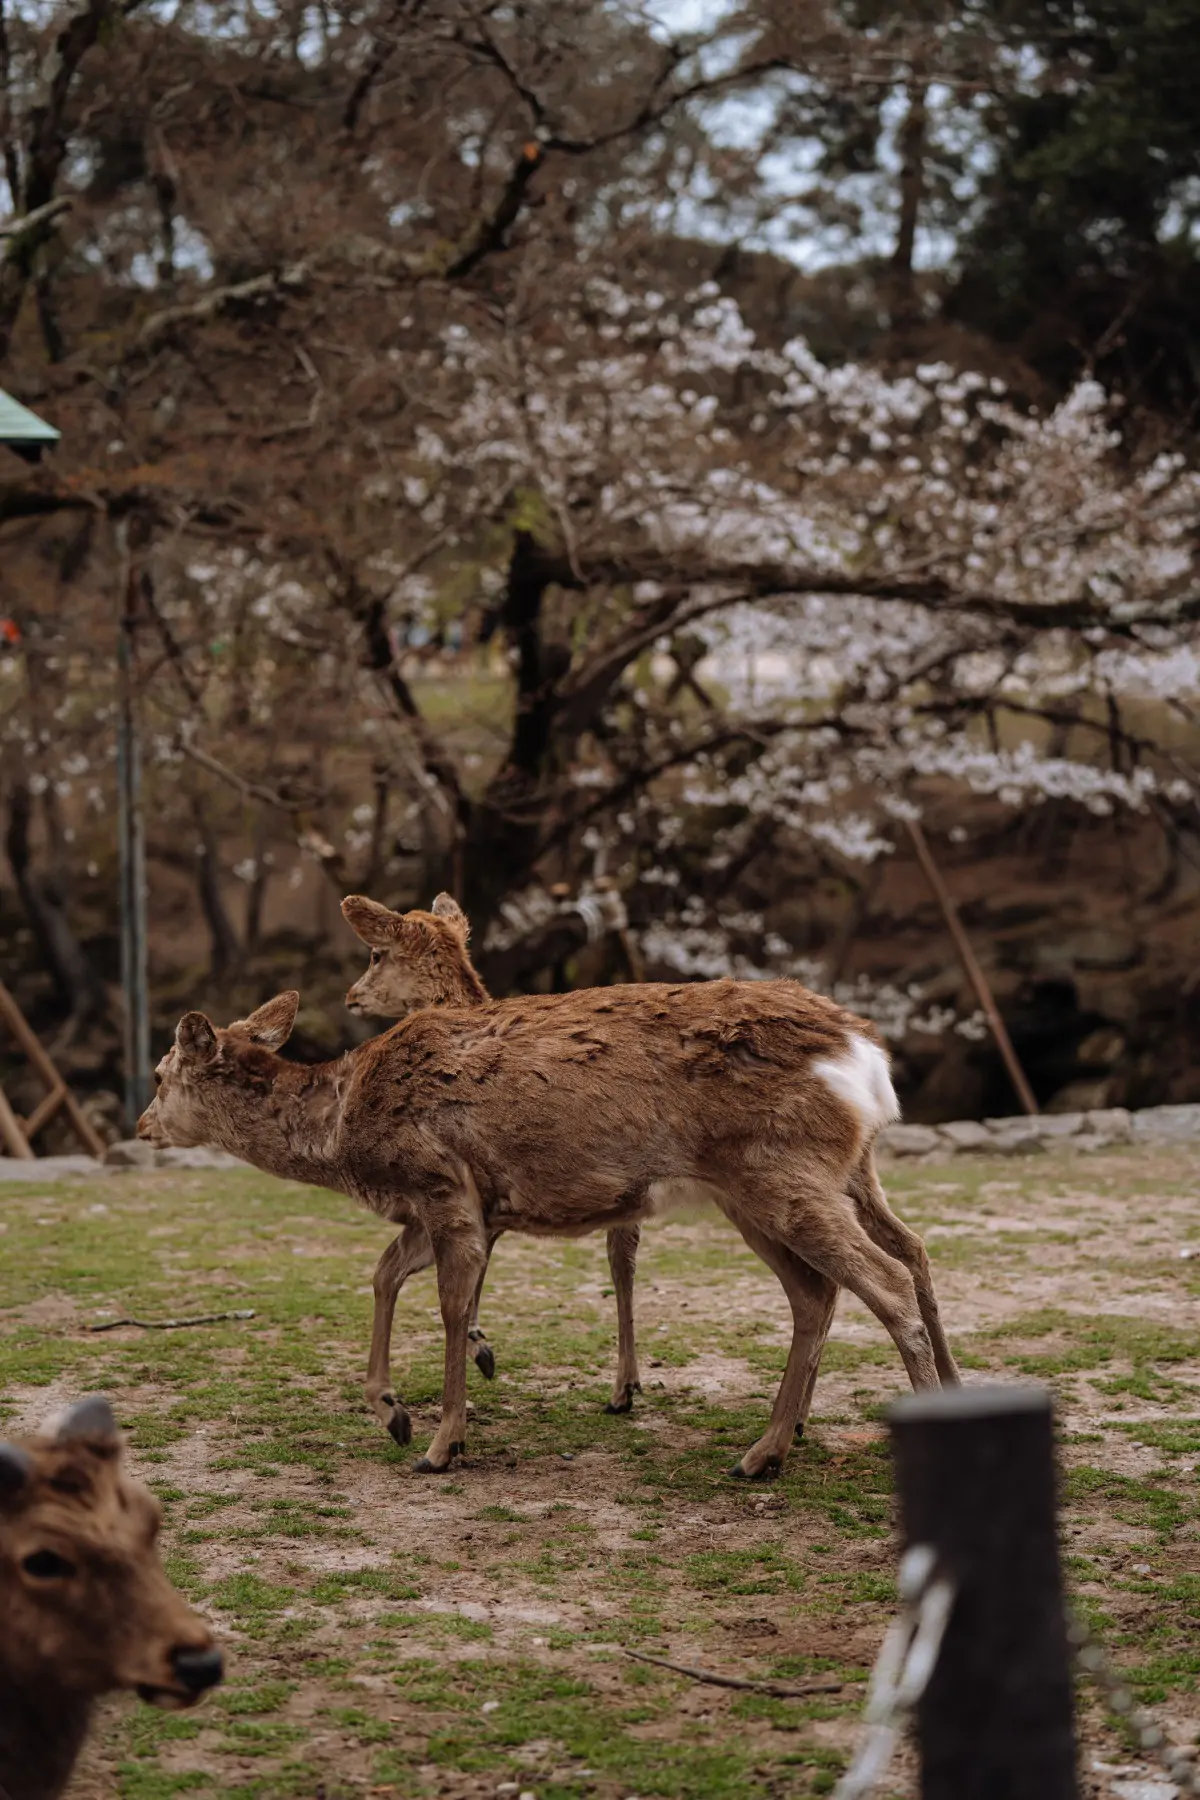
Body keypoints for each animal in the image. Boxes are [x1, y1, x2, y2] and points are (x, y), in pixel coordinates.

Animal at [138, 972, 957, 1476]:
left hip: (779, 1172)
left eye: (158, 1072)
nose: (143, 1125)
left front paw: (440, 1443)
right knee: (839, 1283)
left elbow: (449, 1306)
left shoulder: (444, 1185)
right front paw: (391, 1411)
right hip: (782, 1185)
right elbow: (381, 1275)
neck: (345, 1131)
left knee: (879, 1279)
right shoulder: (450, 1206)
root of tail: (868, 1056)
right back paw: (766, 1453)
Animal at [345, 889, 647, 1432]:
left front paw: (478, 1347)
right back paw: (626, 1387)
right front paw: (479, 1347)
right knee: (624, 1257)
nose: (351, 996)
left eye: (376, 954)